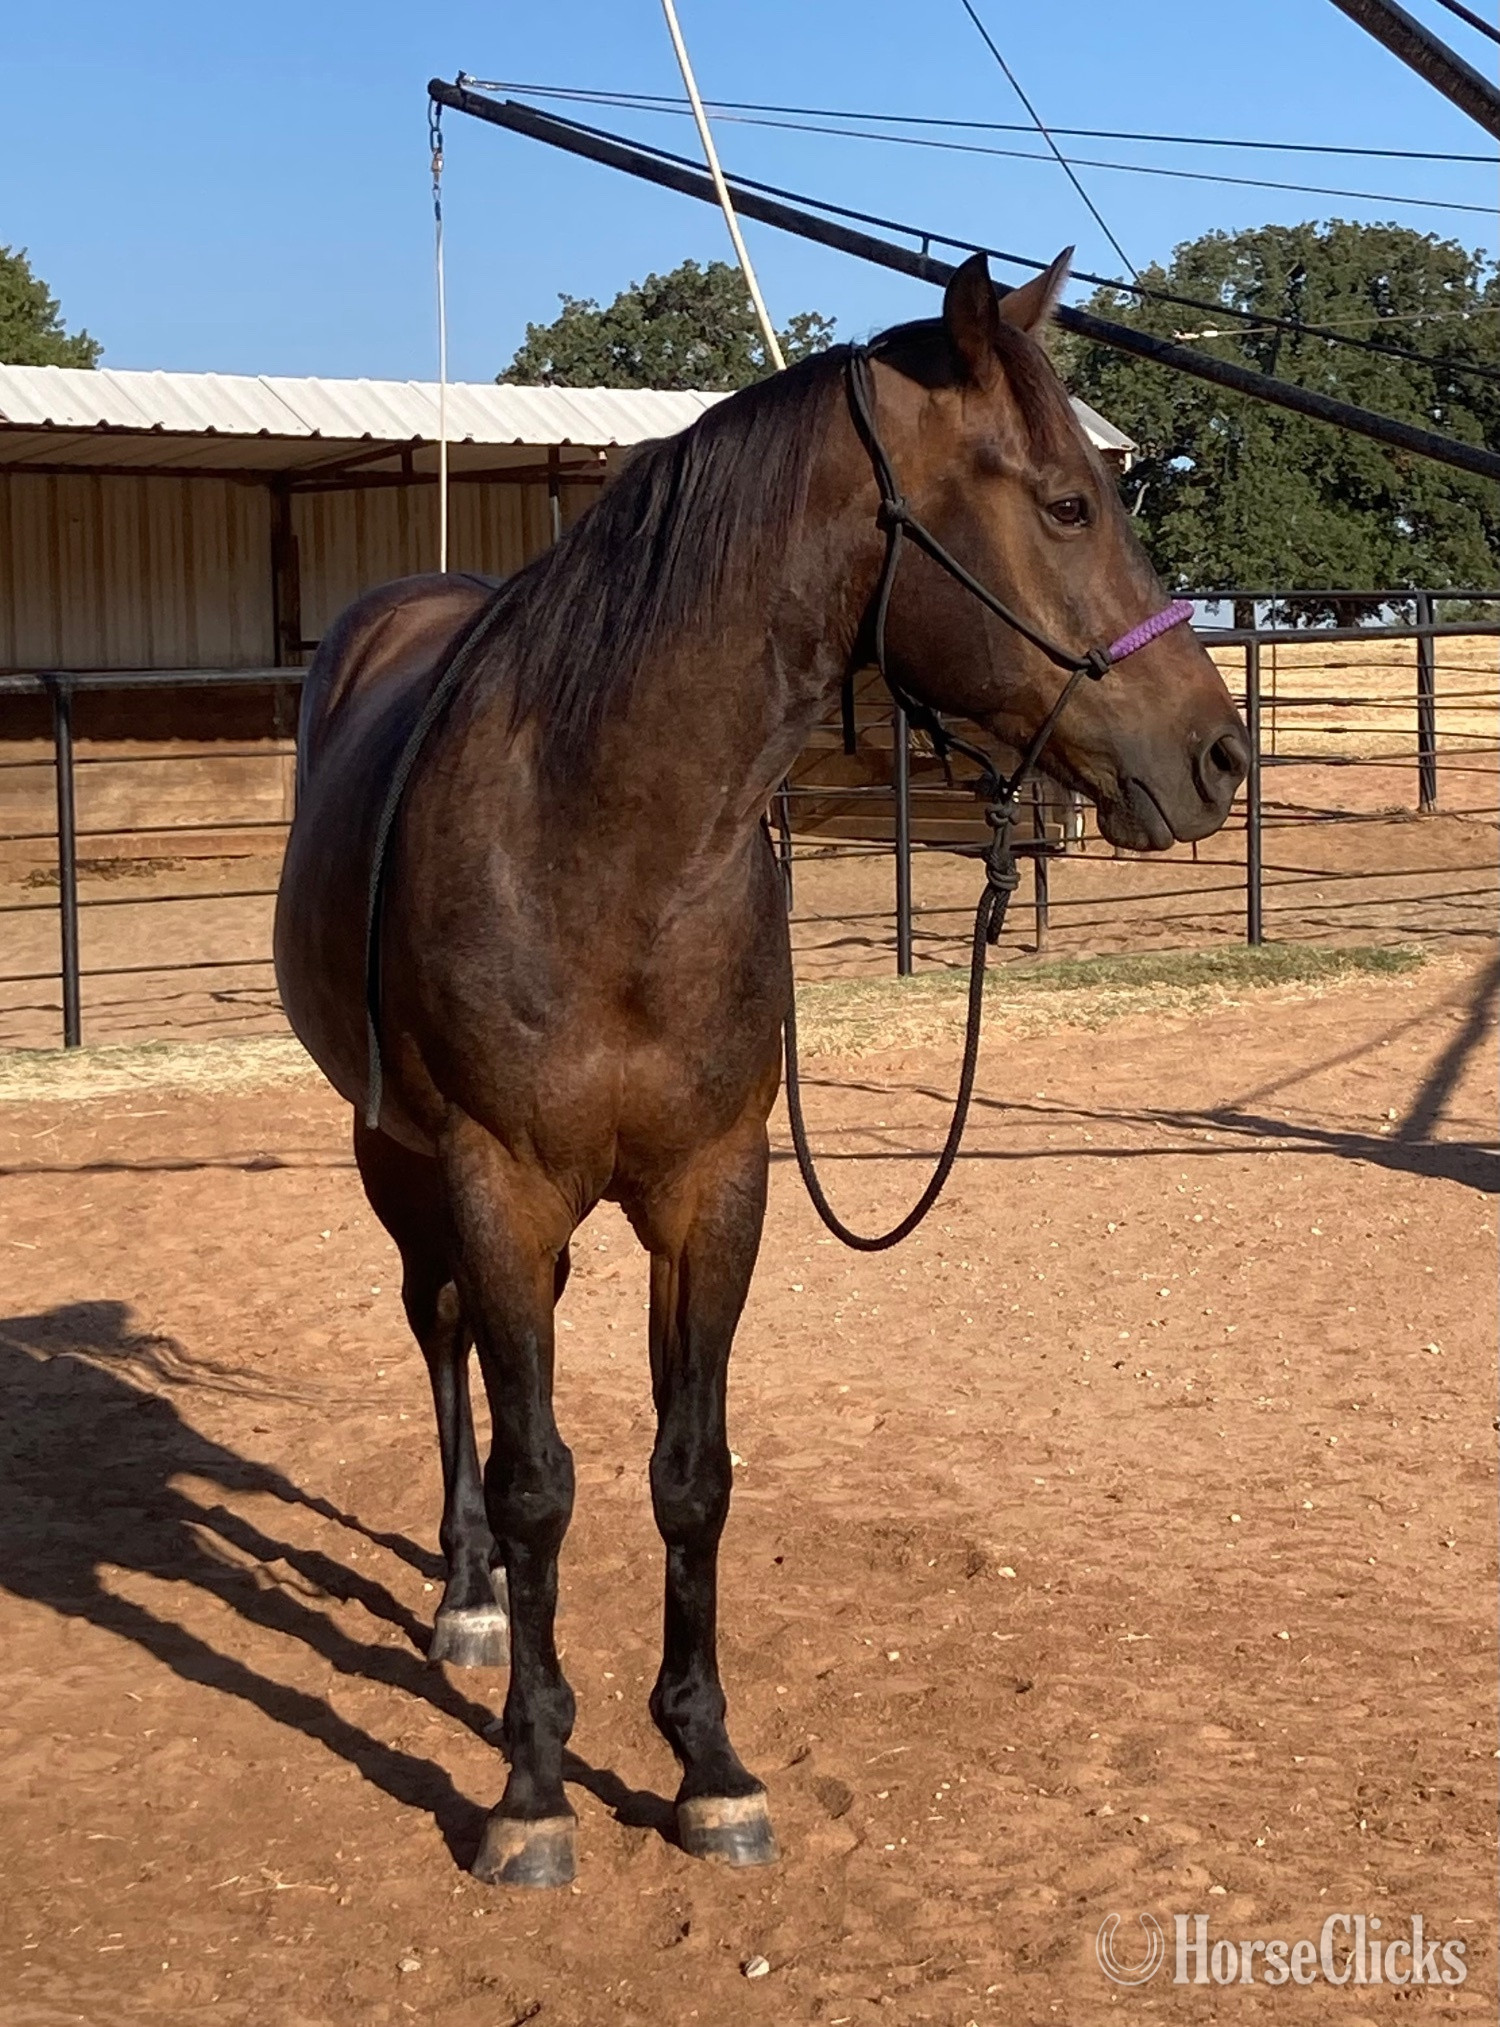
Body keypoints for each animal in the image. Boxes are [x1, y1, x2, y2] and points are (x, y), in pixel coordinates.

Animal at [273, 251, 1248, 1890]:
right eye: (1066, 503)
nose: (1222, 755)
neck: (607, 837)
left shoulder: (713, 1191)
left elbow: (692, 1471)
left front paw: (707, 1763)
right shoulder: (495, 1181)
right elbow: (541, 1479)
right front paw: (532, 1785)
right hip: (395, 1158)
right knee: (446, 1339)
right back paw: (468, 1594)